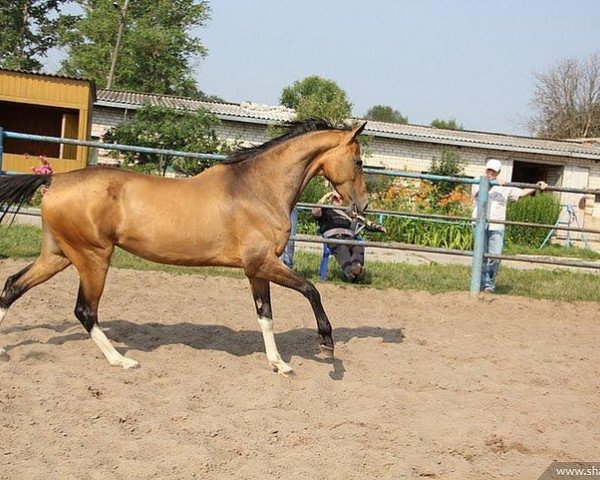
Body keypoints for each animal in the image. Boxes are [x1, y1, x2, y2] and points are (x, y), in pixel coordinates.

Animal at [0, 119, 366, 376]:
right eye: (359, 161)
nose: (362, 205)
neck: (256, 189)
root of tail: (53, 180)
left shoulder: (256, 270)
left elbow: (265, 316)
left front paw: (280, 365)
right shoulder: (262, 263)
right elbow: (310, 289)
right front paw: (327, 345)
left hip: (58, 255)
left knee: (12, 286)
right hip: (93, 258)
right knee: (84, 310)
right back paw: (123, 361)